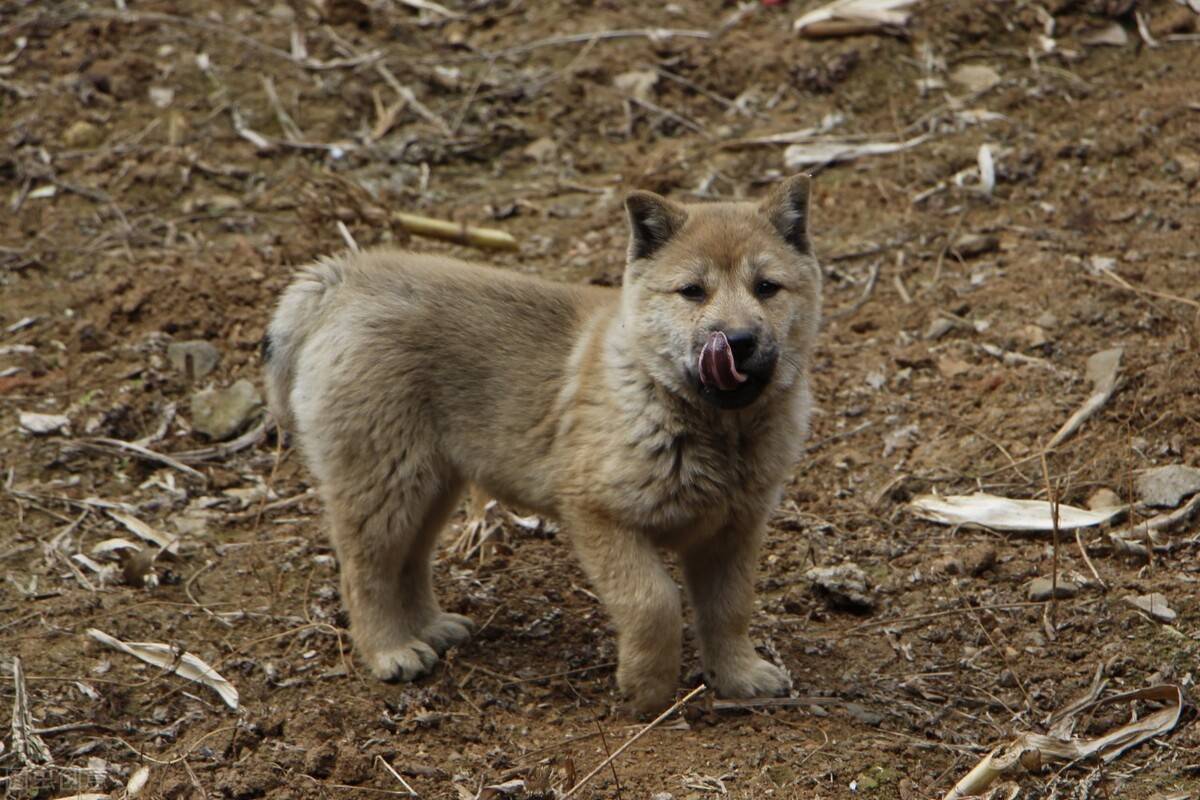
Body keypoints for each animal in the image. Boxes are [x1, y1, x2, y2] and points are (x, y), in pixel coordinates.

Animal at [264, 176, 825, 714]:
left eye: (767, 288)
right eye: (692, 291)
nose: (738, 341)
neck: (711, 425)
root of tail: (343, 278)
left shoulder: (734, 532)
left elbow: (730, 609)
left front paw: (738, 676)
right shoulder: (599, 516)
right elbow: (654, 603)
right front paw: (646, 691)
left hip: (429, 484)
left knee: (410, 561)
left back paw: (430, 627)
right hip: (384, 482)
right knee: (366, 572)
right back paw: (390, 650)